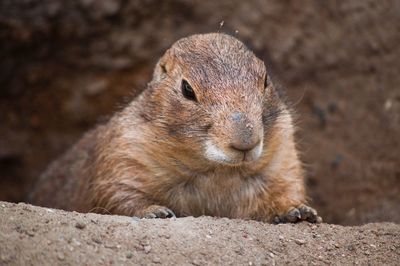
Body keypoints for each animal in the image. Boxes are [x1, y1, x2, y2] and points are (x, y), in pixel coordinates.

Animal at [28, 33, 322, 224]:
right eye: (187, 89)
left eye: (265, 80)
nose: (246, 141)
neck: (216, 171)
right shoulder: (125, 152)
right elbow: (117, 193)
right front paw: (155, 211)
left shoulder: (283, 158)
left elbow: (286, 189)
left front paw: (298, 211)